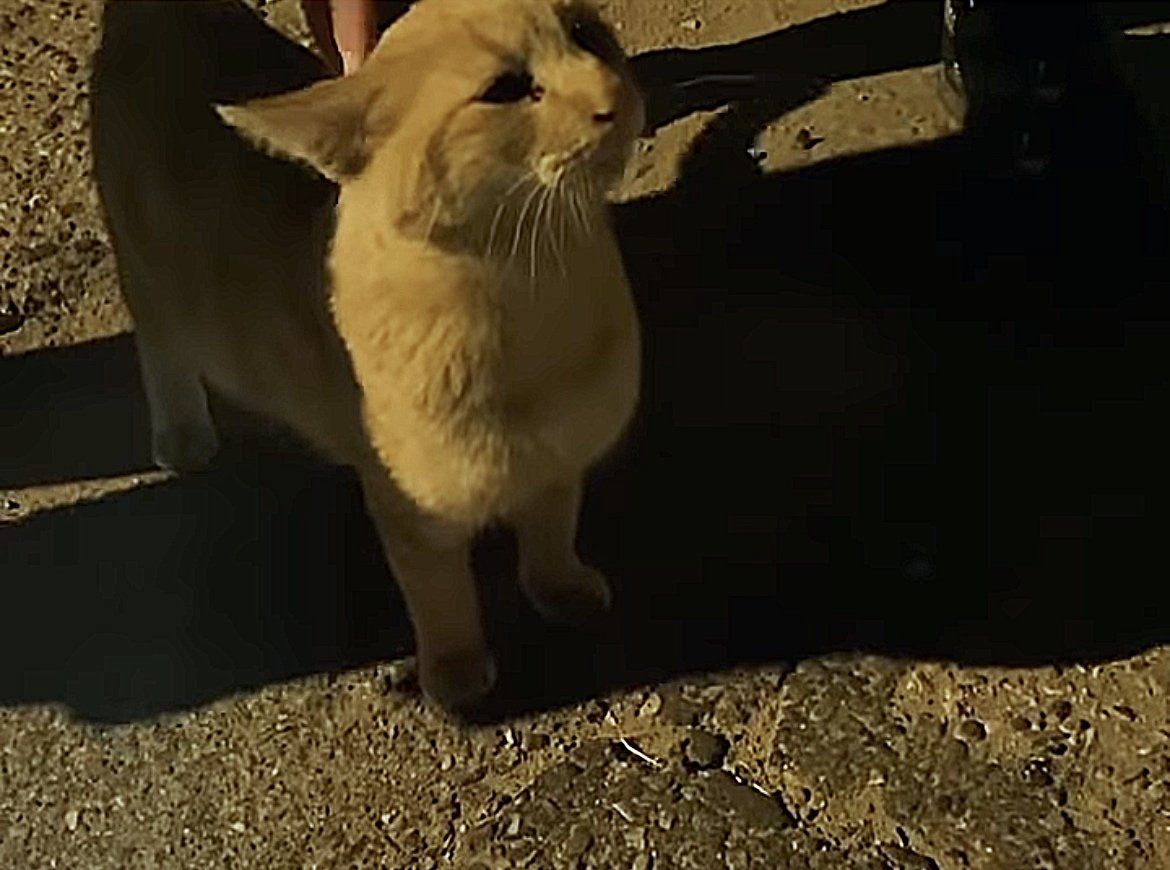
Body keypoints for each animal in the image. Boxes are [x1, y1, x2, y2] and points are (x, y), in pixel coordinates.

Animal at [87, 0, 645, 710]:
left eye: (586, 34)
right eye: (508, 89)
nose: (612, 96)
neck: (534, 288)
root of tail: (161, 11)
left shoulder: (557, 461)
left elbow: (551, 530)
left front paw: (559, 588)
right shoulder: (412, 513)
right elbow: (440, 597)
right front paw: (455, 672)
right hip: (152, 278)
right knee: (159, 346)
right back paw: (182, 430)